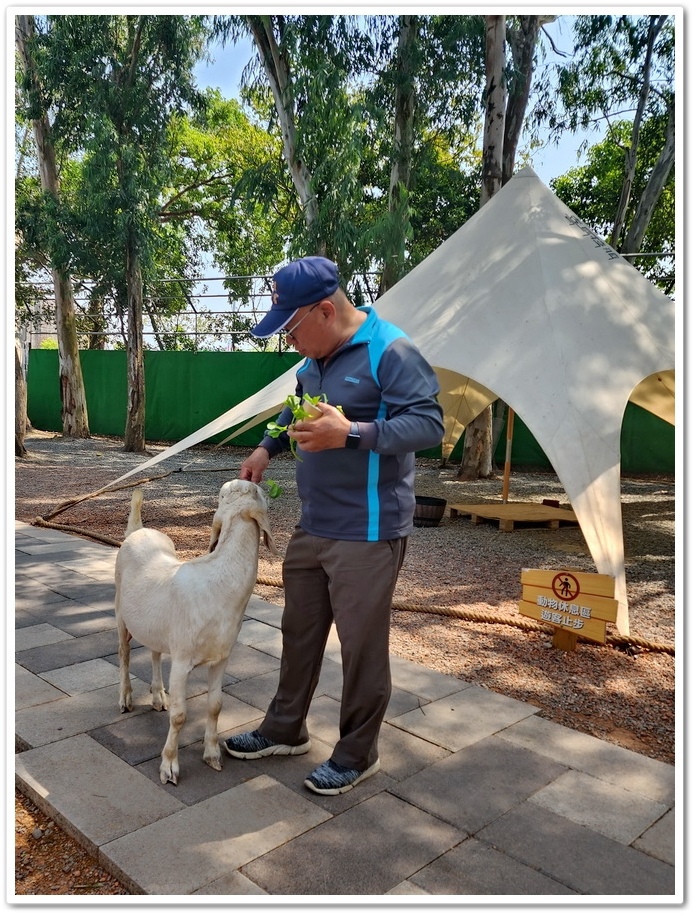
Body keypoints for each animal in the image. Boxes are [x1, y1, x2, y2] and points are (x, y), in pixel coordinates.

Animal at [114, 480, 274, 788]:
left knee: (154, 651)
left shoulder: (222, 656)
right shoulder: (182, 659)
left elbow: (215, 705)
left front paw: (212, 755)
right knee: (124, 653)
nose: (260, 482)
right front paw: (169, 767)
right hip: (120, 613)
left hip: (157, 626)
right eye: (258, 493)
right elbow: (180, 716)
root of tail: (138, 530)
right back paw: (126, 699)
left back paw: (157, 696)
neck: (219, 585)